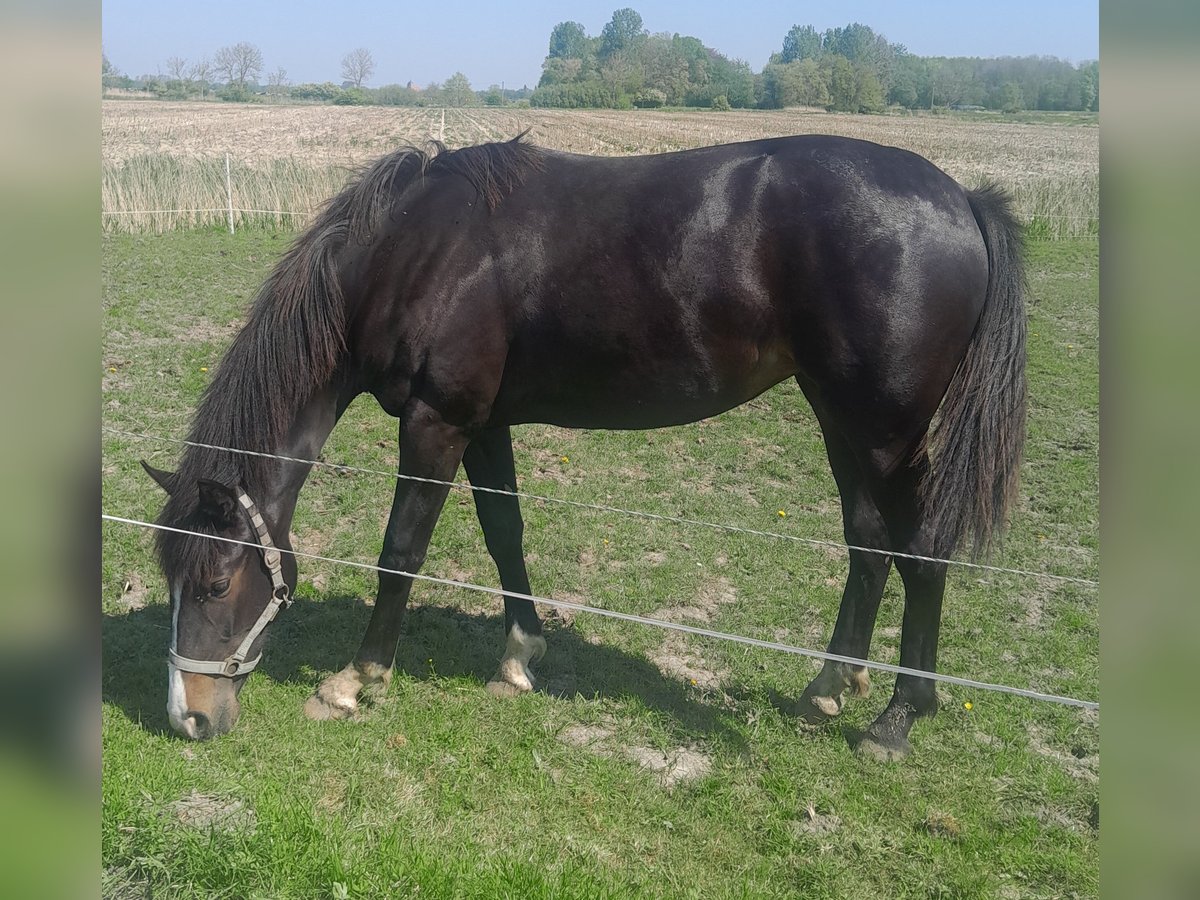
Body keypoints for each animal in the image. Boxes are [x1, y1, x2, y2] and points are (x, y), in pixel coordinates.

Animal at [138, 133, 1022, 763]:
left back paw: (898, 718)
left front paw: (356, 681)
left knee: (922, 553)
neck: (417, 250)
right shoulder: (483, 425)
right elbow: (506, 535)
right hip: (842, 420)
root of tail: (962, 198)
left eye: (215, 584)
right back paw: (830, 688)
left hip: (886, 433)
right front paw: (520, 655)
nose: (188, 719)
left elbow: (401, 551)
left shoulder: (436, 423)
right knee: (869, 545)